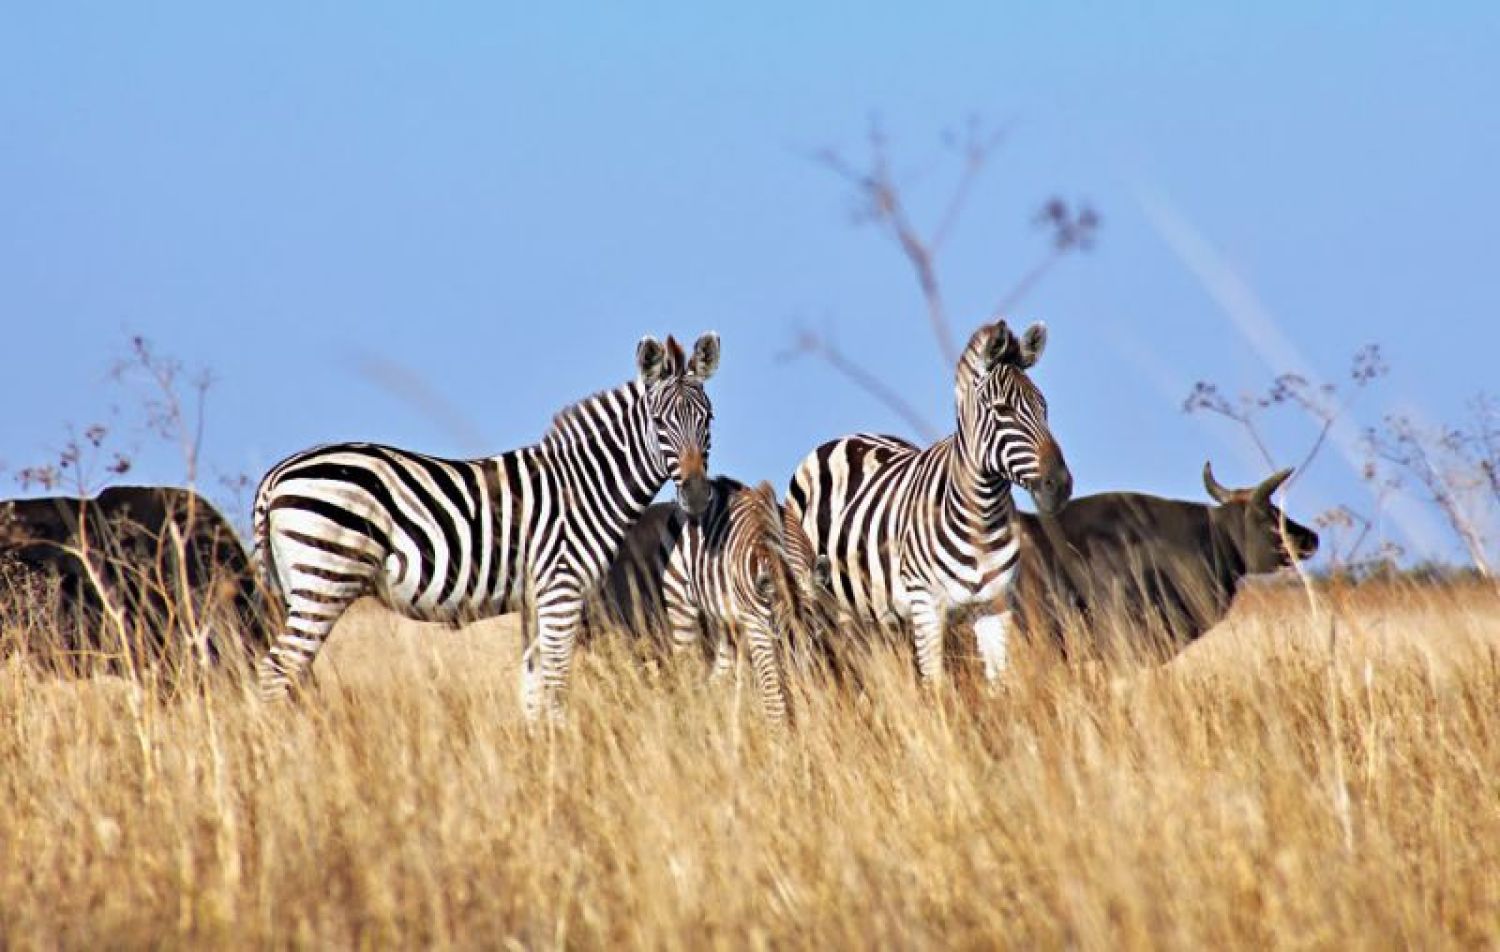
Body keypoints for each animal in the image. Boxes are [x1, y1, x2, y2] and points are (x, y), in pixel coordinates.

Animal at [252, 331, 720, 719]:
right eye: (658, 422)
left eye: (708, 419)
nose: (698, 495)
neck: (586, 484)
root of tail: (276, 476)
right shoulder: (561, 588)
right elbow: (555, 685)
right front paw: (561, 756)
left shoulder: (535, 599)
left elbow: (532, 689)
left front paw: (537, 757)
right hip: (327, 576)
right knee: (277, 672)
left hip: (298, 584)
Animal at [585, 476, 840, 728]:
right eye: (777, 635)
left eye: (814, 633)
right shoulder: (759, 625)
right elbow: (773, 694)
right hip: (680, 610)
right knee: (687, 673)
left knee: (716, 681)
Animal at [780, 317, 1074, 686]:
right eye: (1002, 410)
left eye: (1043, 407)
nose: (1060, 485)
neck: (981, 514)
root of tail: (845, 438)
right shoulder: (926, 606)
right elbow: (936, 687)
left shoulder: (994, 605)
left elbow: (999, 682)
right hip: (816, 598)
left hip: (878, 613)